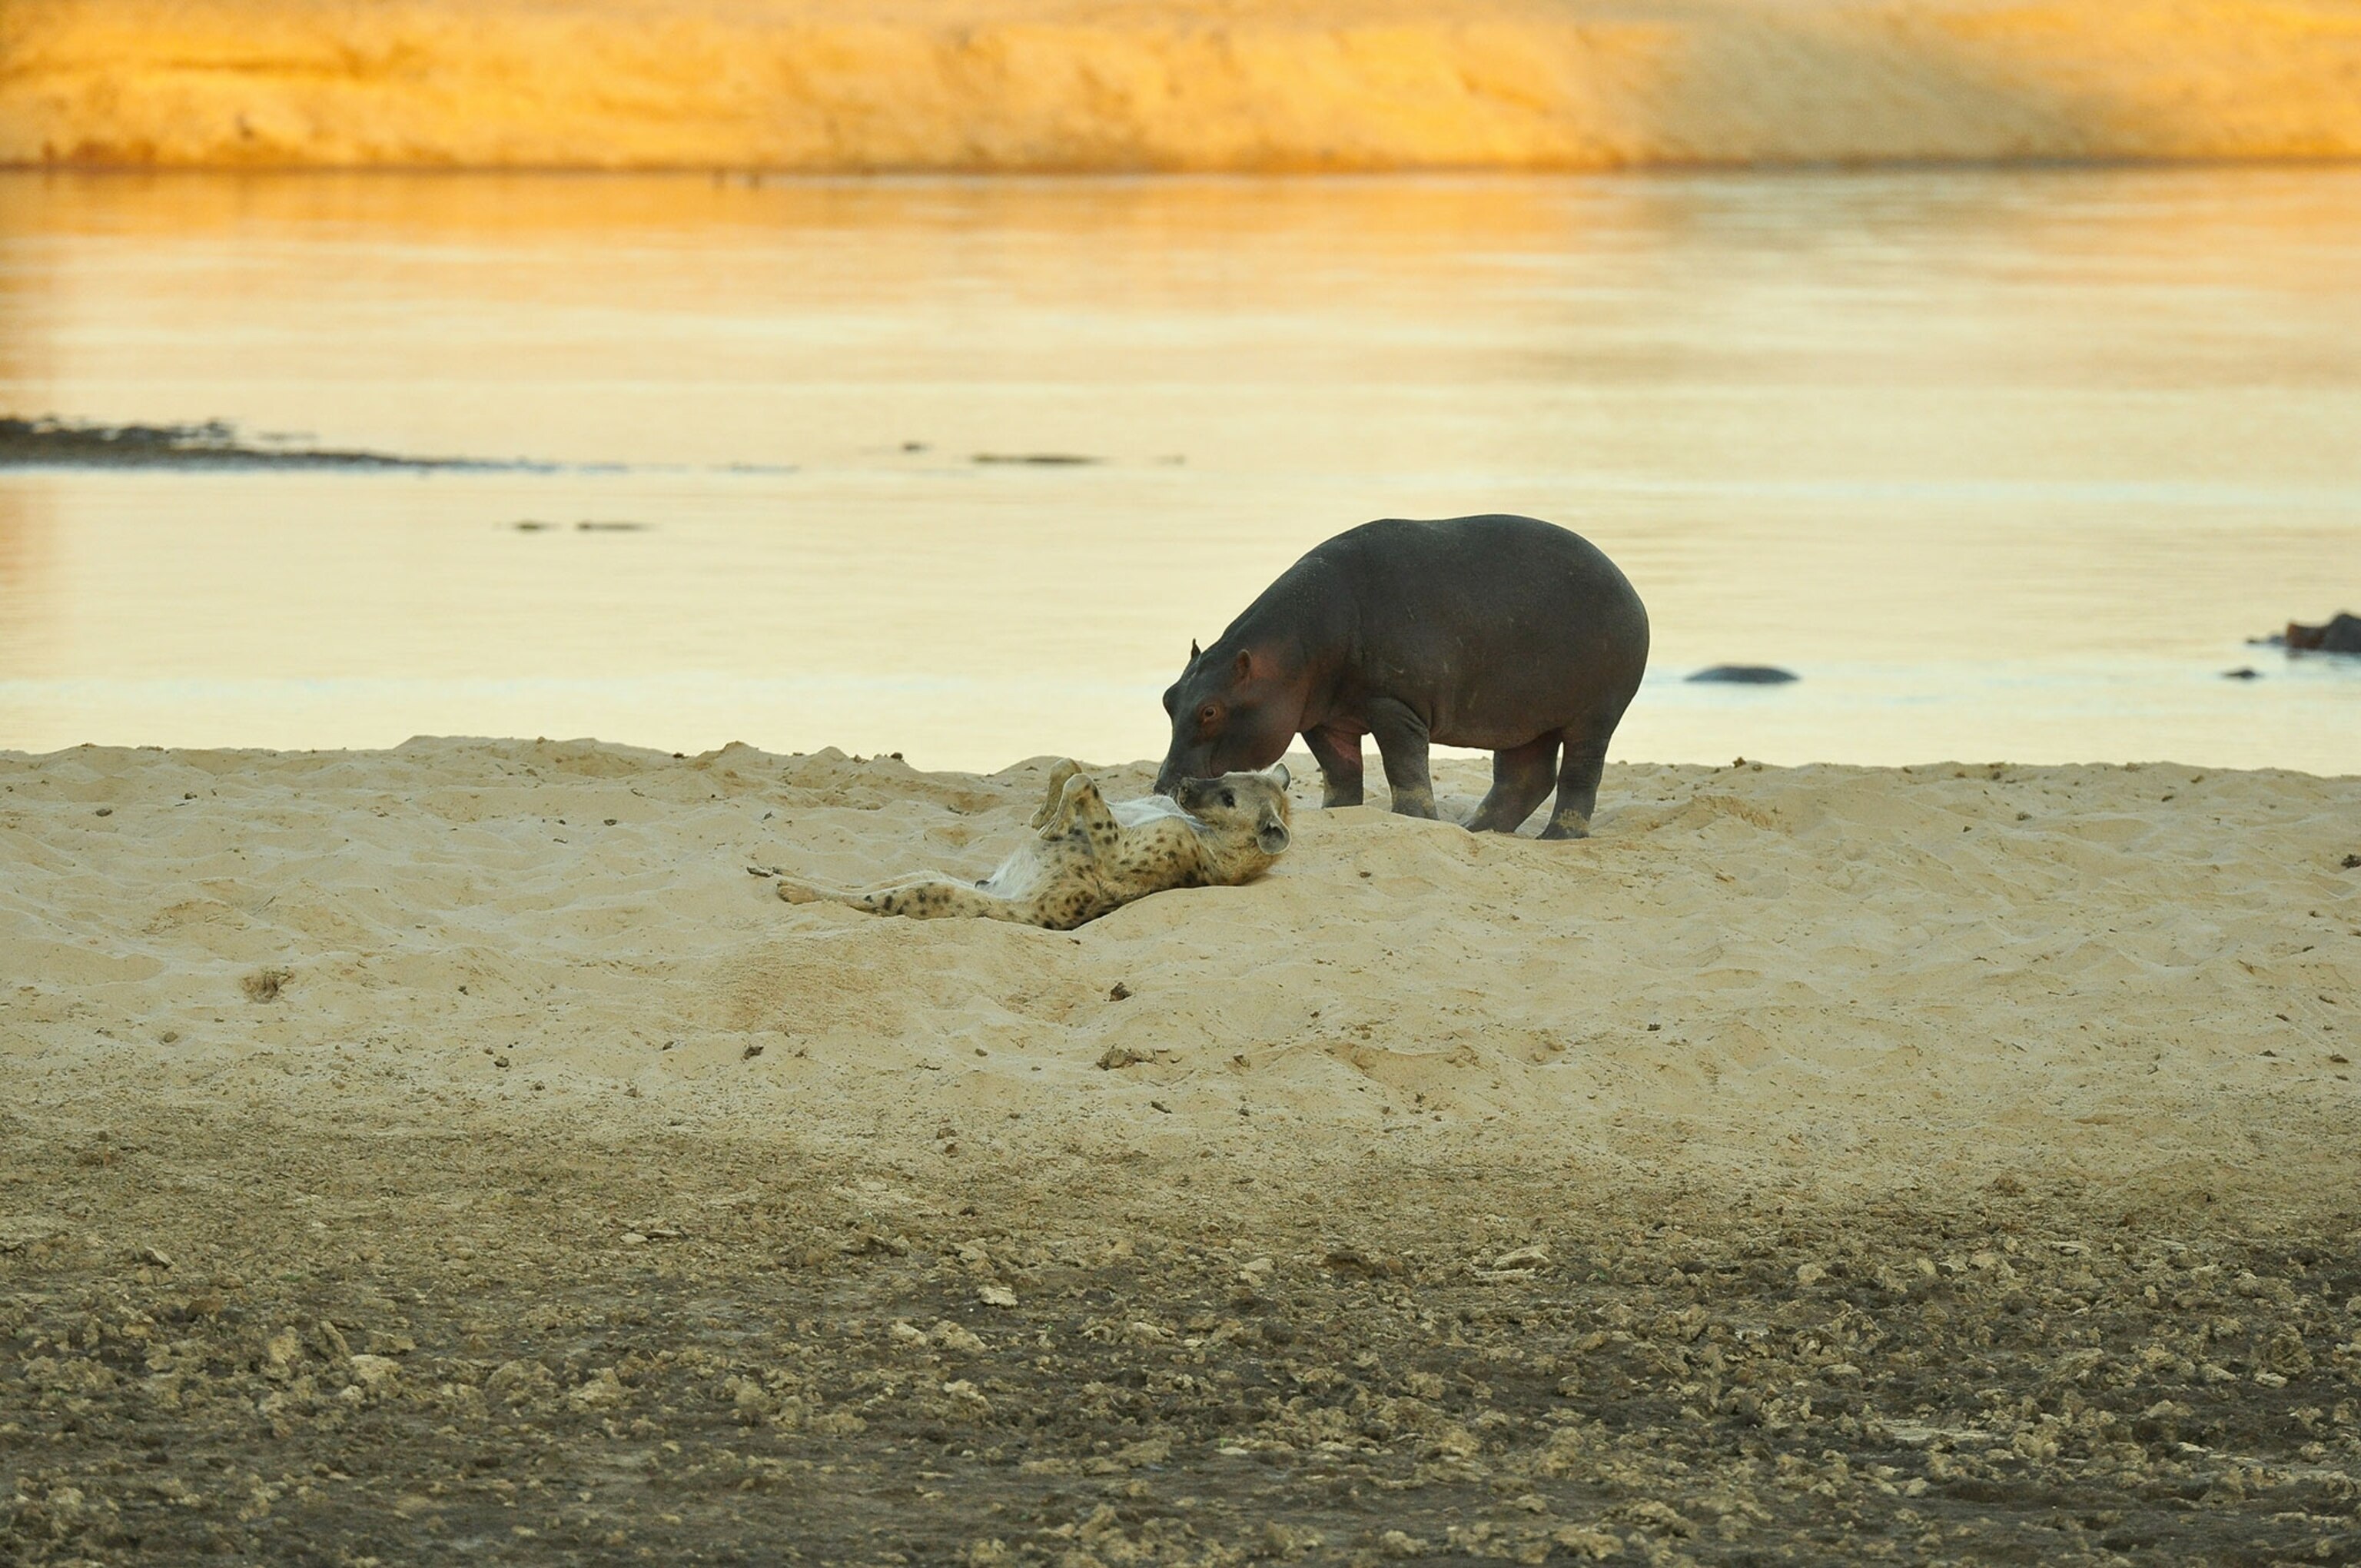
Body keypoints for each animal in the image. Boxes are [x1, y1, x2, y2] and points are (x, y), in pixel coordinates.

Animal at [1154, 514, 1649, 839]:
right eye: (1168, 697)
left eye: (1210, 710)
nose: (1162, 787)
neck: (1292, 649)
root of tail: (1629, 586)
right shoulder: (1323, 717)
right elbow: (1340, 770)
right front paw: (1337, 812)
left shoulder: (1395, 706)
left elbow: (1404, 766)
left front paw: (1415, 819)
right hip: (1523, 719)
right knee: (1524, 777)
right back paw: (1475, 831)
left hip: (1594, 716)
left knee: (1579, 775)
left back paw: (1558, 837)